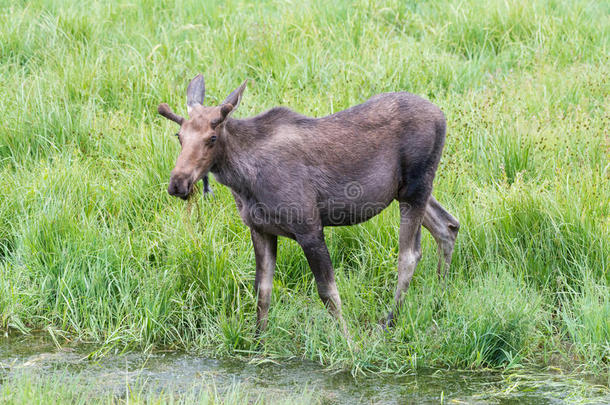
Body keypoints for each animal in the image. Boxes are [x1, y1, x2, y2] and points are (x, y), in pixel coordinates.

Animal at [157, 73, 456, 334]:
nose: (178, 182)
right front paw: (257, 342)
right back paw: (439, 297)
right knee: (448, 225)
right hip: (406, 191)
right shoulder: (260, 229)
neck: (243, 180)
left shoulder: (309, 228)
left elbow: (328, 293)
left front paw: (349, 341)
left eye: (212, 137)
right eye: (179, 136)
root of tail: (442, 116)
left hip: (415, 188)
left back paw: (391, 319)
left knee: (410, 255)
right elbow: (262, 292)